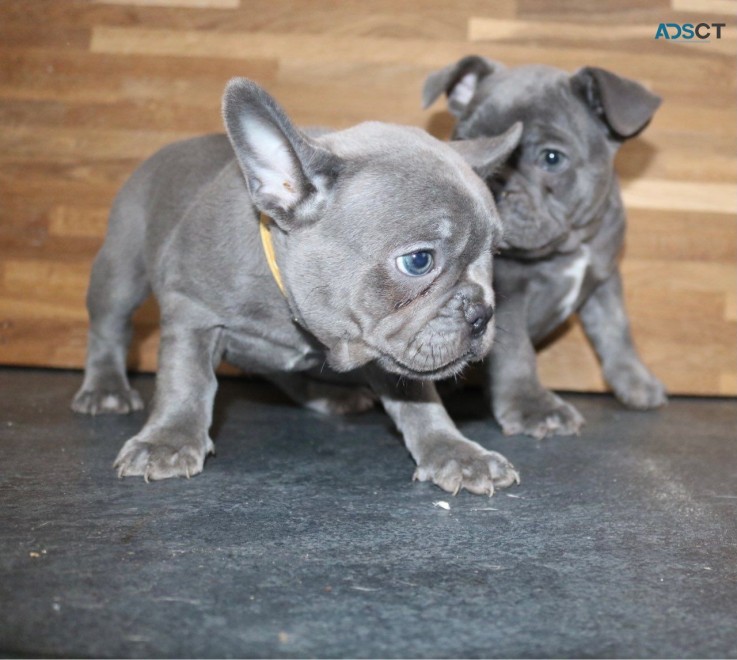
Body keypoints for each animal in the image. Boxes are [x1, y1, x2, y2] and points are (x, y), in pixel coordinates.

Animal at [72, 77, 524, 496]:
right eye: (419, 261)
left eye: (495, 254)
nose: (482, 314)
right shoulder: (192, 313)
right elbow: (186, 380)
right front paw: (168, 441)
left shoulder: (393, 351)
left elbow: (420, 400)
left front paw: (455, 452)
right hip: (120, 270)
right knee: (109, 327)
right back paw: (105, 390)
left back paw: (327, 394)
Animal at [420, 56, 668, 438]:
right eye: (462, 142)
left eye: (551, 158)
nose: (491, 183)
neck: (569, 245)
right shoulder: (506, 293)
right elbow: (516, 352)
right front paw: (533, 407)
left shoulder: (605, 277)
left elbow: (616, 329)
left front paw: (635, 381)